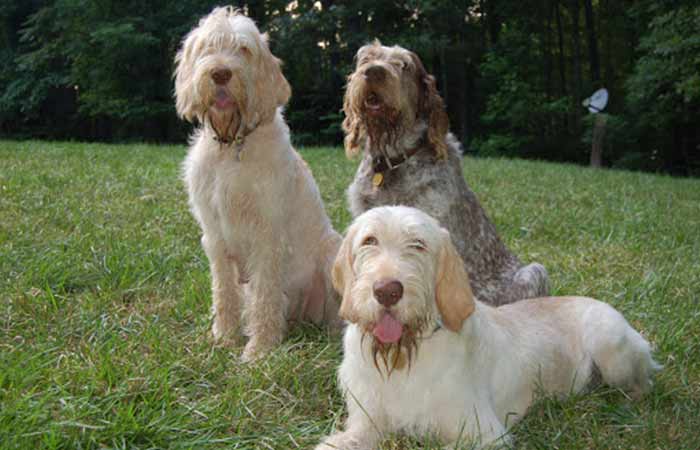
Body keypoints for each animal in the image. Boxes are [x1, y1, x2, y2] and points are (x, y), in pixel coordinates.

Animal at [174, 6, 340, 362]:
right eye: (208, 47)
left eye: (243, 49)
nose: (221, 74)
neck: (233, 146)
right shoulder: (215, 235)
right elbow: (224, 292)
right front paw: (224, 337)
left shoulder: (267, 234)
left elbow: (264, 294)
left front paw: (260, 350)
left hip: (334, 253)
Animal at [318, 206, 660, 448]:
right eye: (369, 241)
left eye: (418, 245)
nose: (387, 291)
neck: (403, 361)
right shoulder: (365, 423)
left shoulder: (485, 434)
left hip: (610, 345)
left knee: (645, 381)